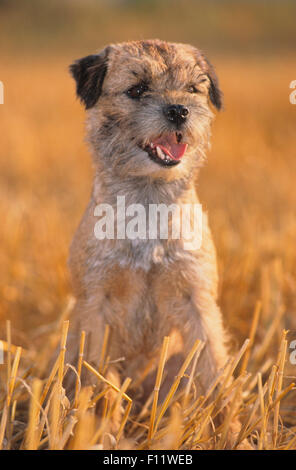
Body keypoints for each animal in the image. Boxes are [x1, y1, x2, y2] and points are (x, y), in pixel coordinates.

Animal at [65, 38, 243, 446]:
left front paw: (232, 431)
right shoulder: (97, 304)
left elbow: (214, 368)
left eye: (193, 89)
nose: (178, 110)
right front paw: (101, 428)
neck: (148, 200)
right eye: (137, 90)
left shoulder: (196, 299)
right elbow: (99, 375)